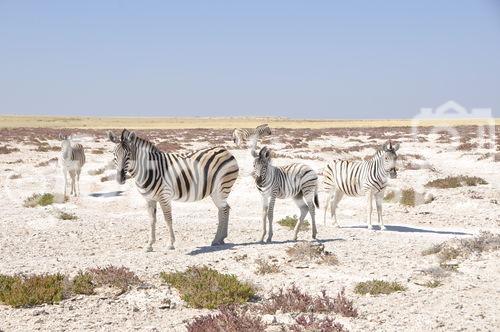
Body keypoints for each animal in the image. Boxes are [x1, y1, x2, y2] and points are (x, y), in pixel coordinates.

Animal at [107, 129, 238, 252]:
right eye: (114, 155)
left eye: (128, 155)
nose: (120, 179)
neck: (149, 170)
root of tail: (224, 149)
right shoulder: (149, 199)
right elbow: (152, 221)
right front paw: (149, 245)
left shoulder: (164, 197)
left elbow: (168, 219)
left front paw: (170, 244)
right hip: (215, 191)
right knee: (224, 209)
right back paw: (220, 238)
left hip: (222, 187)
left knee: (224, 209)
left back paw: (217, 239)